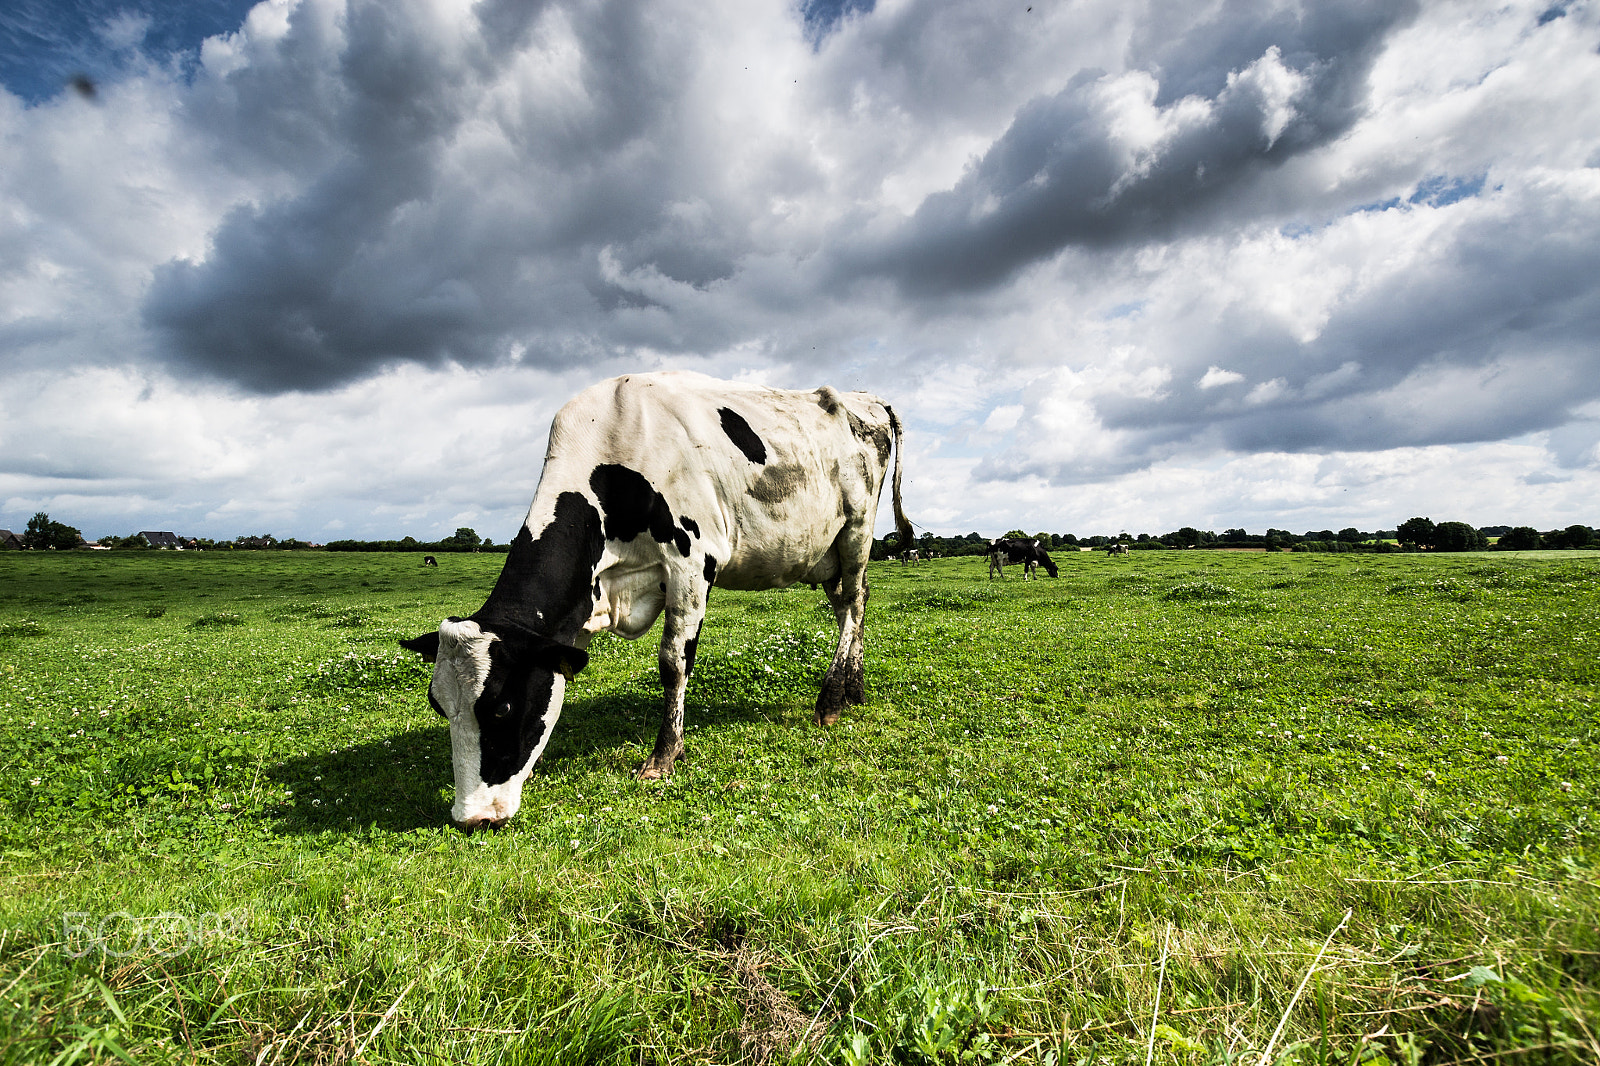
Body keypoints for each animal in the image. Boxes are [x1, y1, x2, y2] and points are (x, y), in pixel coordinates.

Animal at [400, 371, 913, 829]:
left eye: (501, 708)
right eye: (439, 706)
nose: (471, 818)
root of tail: (862, 397)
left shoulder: (692, 561)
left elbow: (673, 663)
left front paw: (664, 757)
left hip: (856, 531)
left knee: (855, 604)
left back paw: (831, 700)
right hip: (825, 550)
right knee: (851, 604)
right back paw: (854, 688)